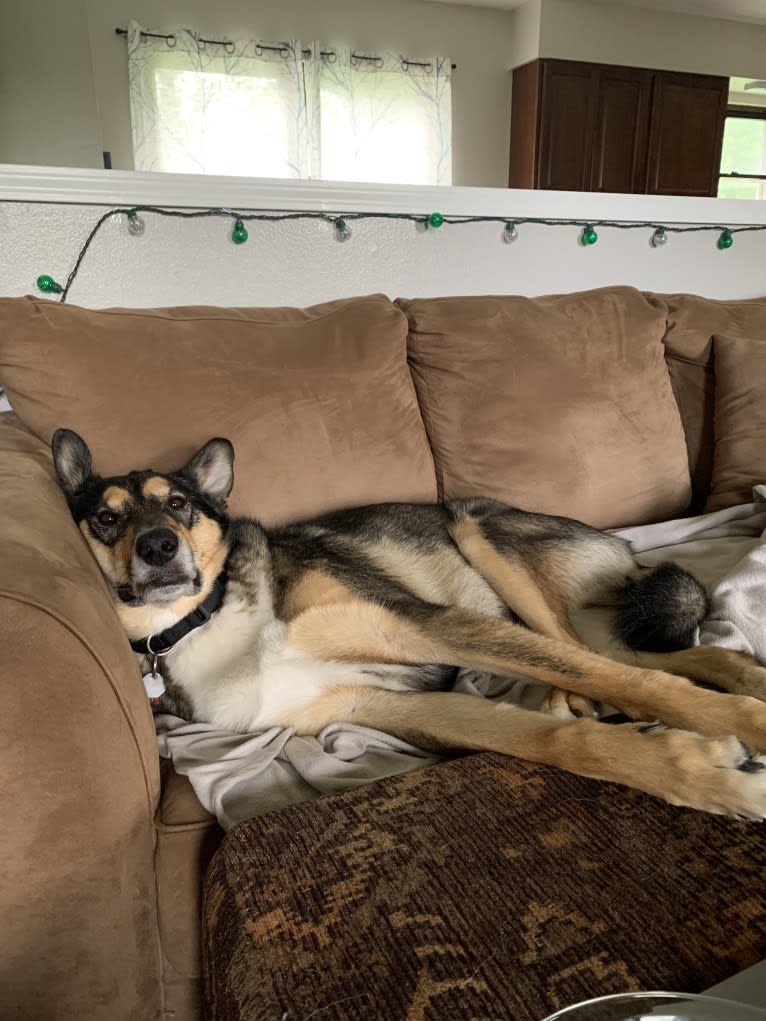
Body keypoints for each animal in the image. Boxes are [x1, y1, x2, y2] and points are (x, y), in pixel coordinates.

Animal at [51, 430, 766, 820]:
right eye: (106, 518)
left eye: (178, 504)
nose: (159, 548)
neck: (208, 614)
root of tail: (623, 548)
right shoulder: (371, 706)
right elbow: (550, 743)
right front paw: (700, 772)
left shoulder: (418, 623)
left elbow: (638, 690)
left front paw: (741, 733)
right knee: (648, 659)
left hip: (476, 530)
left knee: (609, 665)